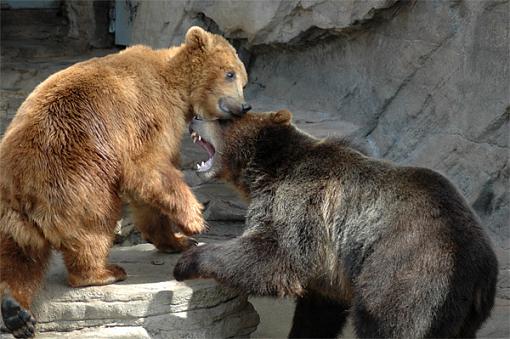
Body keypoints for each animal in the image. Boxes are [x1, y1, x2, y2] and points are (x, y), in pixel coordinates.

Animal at [0, 25, 249, 338]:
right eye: (230, 73)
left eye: (243, 79)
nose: (244, 106)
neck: (175, 83)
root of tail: (24, 190)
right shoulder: (149, 116)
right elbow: (150, 169)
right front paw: (194, 222)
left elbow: (147, 199)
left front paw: (178, 240)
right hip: (77, 179)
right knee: (93, 225)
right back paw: (104, 272)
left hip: (13, 214)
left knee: (20, 256)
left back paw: (15, 310)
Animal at [174, 111, 498, 339]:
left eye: (224, 119)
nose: (196, 117)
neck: (267, 170)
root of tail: (479, 266)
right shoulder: (331, 264)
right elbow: (318, 310)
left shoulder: (304, 201)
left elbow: (275, 256)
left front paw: (189, 259)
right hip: (464, 313)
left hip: (407, 270)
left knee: (391, 322)